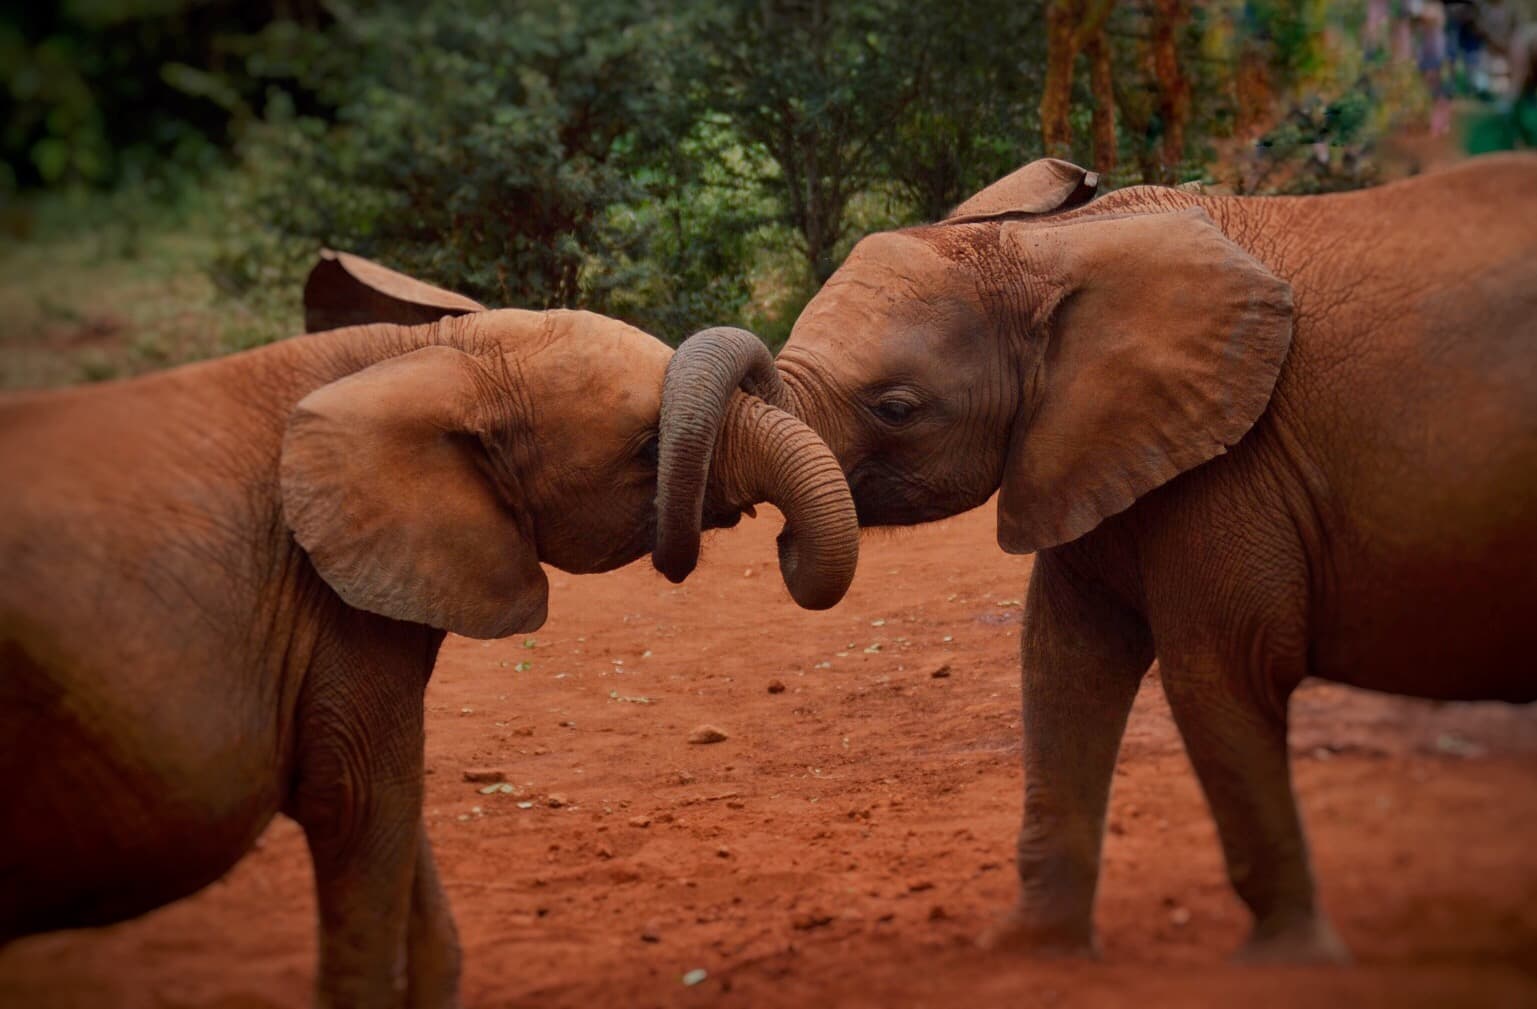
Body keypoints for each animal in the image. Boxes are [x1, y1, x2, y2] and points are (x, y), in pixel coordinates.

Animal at [0, 252, 858, 1008]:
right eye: (647, 449)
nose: (778, 539)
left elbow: (396, 811)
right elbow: (359, 801)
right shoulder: (331, 600)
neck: (422, 356)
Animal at [652, 154, 1537, 963]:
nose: (760, 529)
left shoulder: (1237, 464)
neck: (1056, 241)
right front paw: (1024, 951)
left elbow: (1222, 673)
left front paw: (1287, 966)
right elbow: (1062, 662)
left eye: (896, 408)